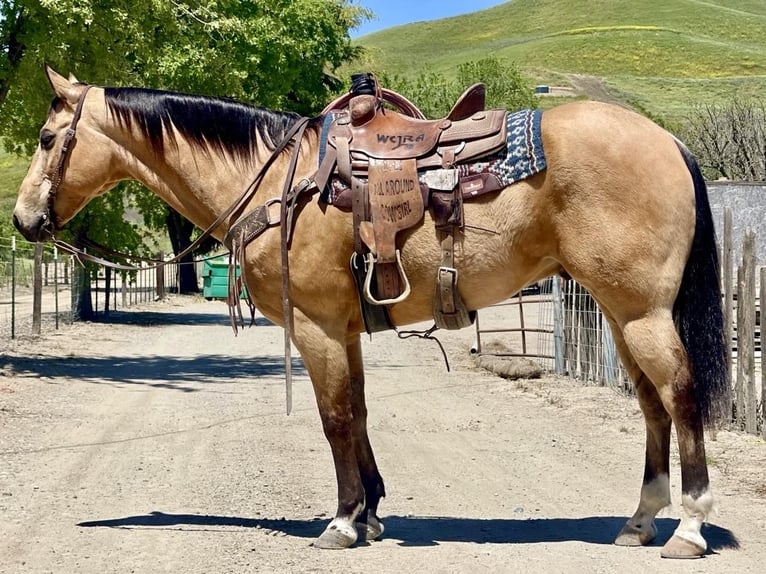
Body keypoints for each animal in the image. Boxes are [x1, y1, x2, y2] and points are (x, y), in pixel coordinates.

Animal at [15, 66, 728, 560]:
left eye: (48, 137)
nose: (23, 220)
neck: (278, 183)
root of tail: (668, 140)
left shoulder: (317, 327)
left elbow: (332, 420)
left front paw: (340, 522)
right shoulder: (346, 330)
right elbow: (356, 412)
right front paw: (371, 514)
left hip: (641, 311)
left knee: (681, 394)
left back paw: (689, 528)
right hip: (619, 312)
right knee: (652, 404)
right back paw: (639, 522)